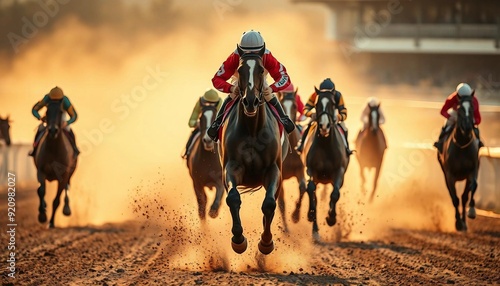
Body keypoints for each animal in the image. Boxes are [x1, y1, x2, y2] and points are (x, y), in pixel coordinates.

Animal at [33, 99, 76, 228]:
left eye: (61, 111)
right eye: (47, 111)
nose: (52, 130)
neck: (54, 149)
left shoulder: (64, 175)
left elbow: (57, 199)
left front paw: (51, 222)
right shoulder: (41, 170)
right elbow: (41, 191)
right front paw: (42, 215)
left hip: (71, 172)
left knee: (67, 188)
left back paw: (66, 209)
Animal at [215, 47, 290, 255]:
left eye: (261, 69)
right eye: (240, 70)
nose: (250, 101)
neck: (252, 130)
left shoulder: (274, 170)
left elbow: (269, 204)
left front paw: (266, 242)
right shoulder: (231, 167)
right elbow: (233, 198)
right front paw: (238, 240)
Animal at [298, 88, 350, 240]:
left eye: (333, 103)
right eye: (317, 104)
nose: (324, 126)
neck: (325, 144)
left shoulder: (339, 172)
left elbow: (335, 194)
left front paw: (331, 218)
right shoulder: (311, 170)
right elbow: (311, 190)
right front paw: (310, 215)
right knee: (313, 195)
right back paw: (315, 230)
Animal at [438, 95, 480, 231]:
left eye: (471, 109)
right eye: (460, 109)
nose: (467, 127)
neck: (462, 145)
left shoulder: (472, 170)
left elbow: (473, 187)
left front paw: (471, 211)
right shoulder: (450, 175)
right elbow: (455, 199)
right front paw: (458, 223)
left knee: (464, 196)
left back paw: (465, 221)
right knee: (455, 197)